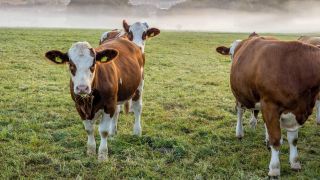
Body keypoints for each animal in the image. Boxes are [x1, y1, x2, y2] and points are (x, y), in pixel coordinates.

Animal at [215, 32, 320, 177]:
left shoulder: (296, 110)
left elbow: (293, 139)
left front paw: (295, 162)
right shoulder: (270, 105)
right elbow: (275, 138)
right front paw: (274, 169)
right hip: (240, 94)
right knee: (240, 112)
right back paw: (240, 133)